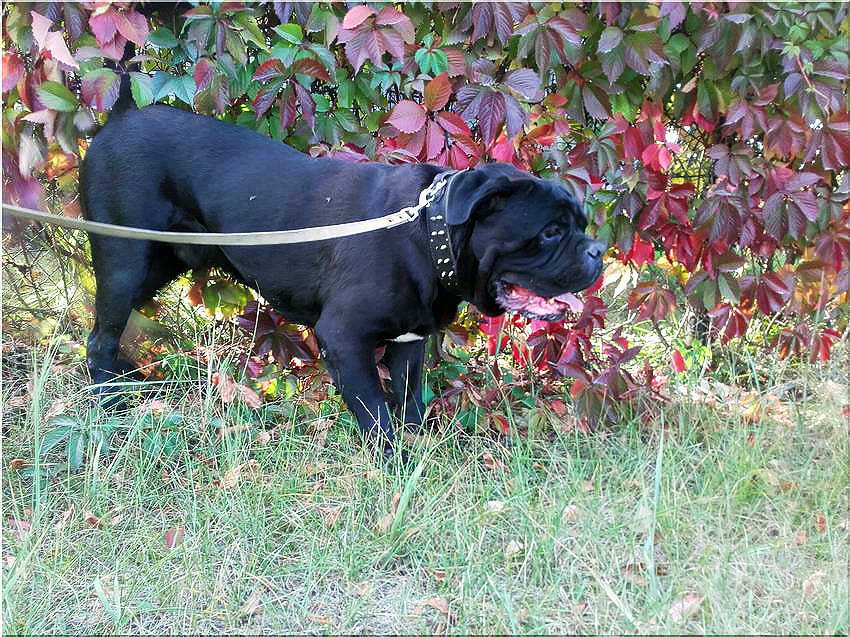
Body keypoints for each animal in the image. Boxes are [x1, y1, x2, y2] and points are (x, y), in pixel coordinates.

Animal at [80, 78, 604, 458]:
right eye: (551, 232)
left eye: (581, 224)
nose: (597, 250)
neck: (427, 230)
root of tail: (120, 115)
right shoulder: (344, 337)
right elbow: (376, 412)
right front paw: (396, 464)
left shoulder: (408, 342)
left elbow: (409, 402)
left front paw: (421, 449)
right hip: (125, 260)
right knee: (101, 333)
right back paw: (110, 401)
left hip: (156, 265)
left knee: (109, 326)